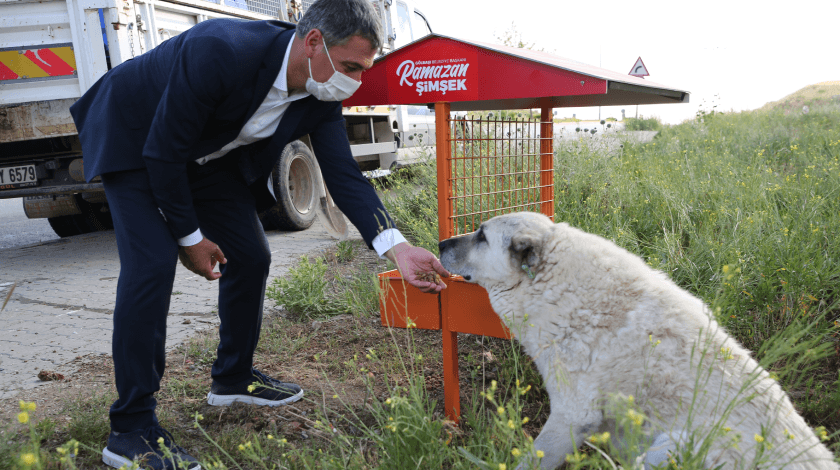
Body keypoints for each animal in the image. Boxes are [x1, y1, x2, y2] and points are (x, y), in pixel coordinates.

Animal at [436, 213, 836, 470]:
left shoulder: (571, 415)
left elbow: (532, 460)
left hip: (668, 450)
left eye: (482, 236)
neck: (554, 285)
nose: (439, 243)